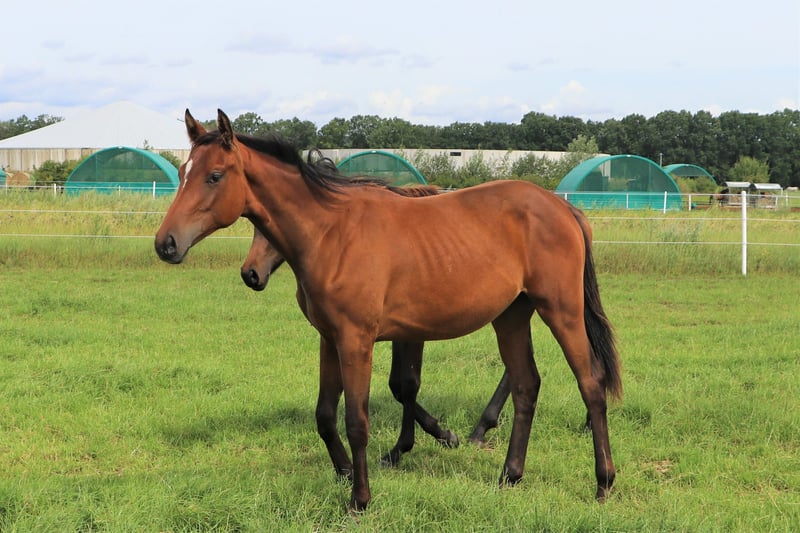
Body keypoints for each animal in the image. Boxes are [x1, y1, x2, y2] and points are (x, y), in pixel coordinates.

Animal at [155, 109, 622, 511]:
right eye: (181, 173)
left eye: (215, 175)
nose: (166, 244)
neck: (332, 233)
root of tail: (563, 208)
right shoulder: (330, 339)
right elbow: (326, 416)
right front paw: (346, 471)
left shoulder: (357, 341)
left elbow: (358, 420)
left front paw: (361, 498)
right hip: (510, 317)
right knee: (526, 386)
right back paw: (510, 475)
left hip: (561, 311)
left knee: (591, 384)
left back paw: (603, 483)